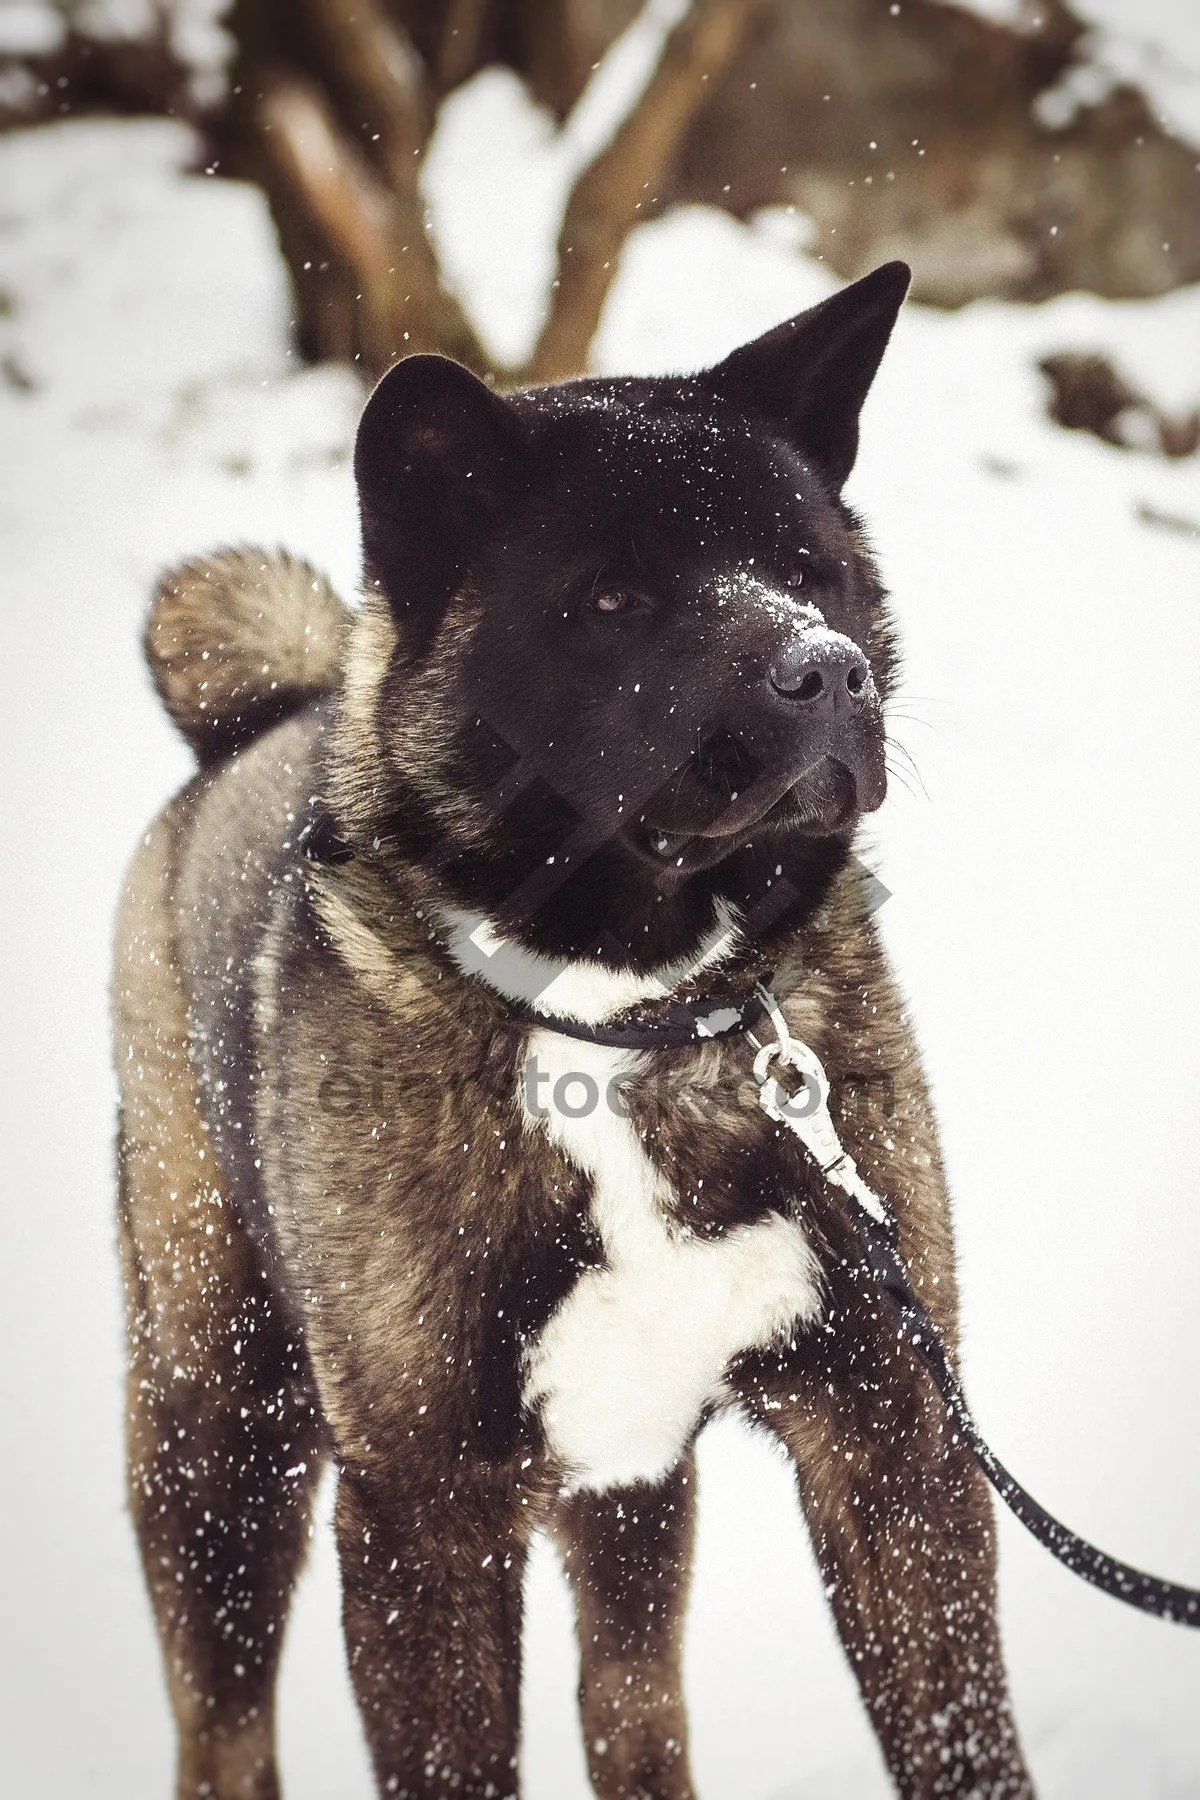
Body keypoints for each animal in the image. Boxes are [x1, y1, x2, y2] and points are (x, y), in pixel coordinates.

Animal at [112, 266, 1036, 1800]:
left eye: (814, 569)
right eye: (610, 596)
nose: (827, 672)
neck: (620, 1018)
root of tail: (252, 722)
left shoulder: (893, 1435)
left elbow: (966, 1745)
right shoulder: (423, 1517)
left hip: (627, 1487)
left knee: (630, 1704)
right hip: (217, 1439)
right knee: (222, 1730)